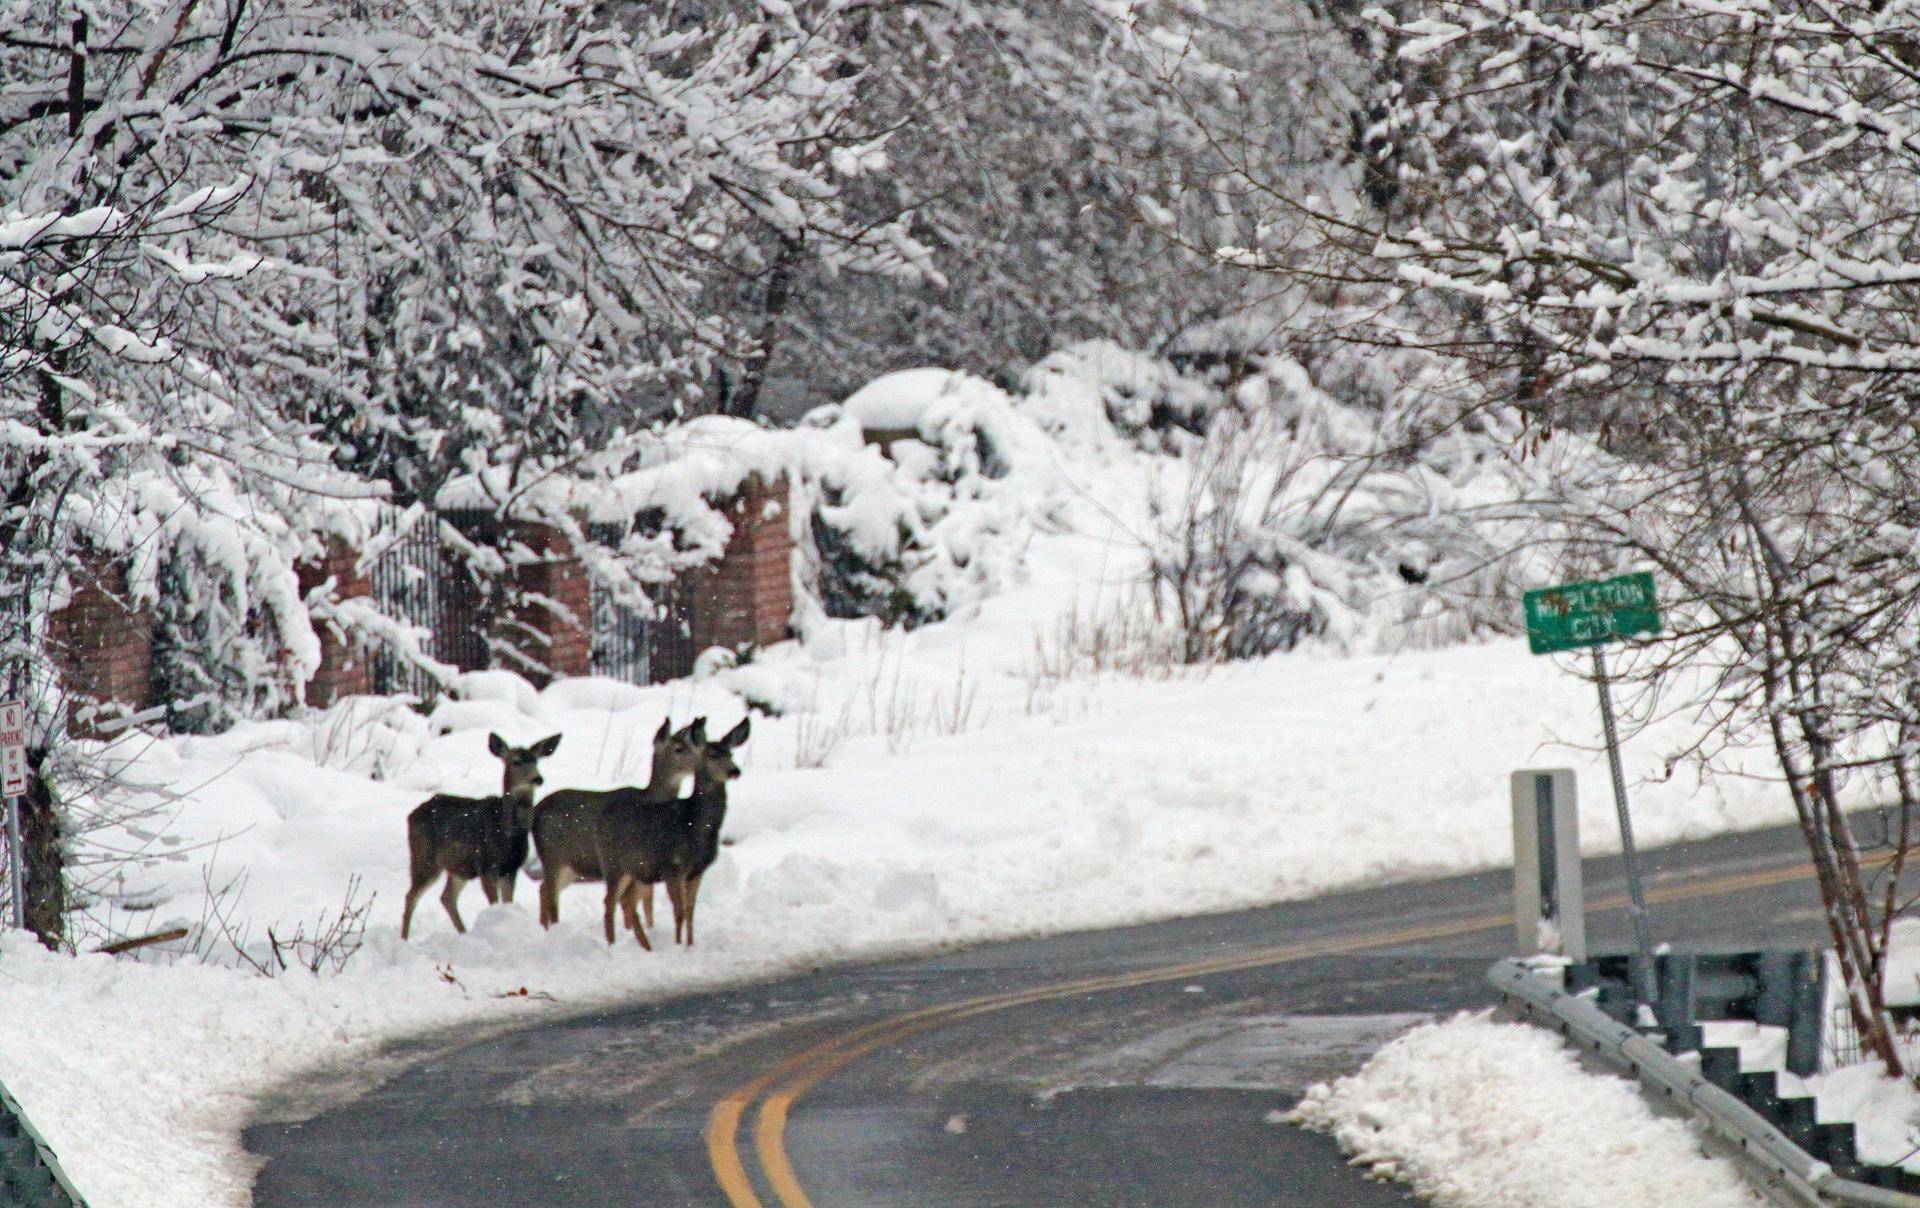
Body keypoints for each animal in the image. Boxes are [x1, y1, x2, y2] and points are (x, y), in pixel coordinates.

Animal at [399, 729, 560, 937]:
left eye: (536, 761)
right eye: (516, 761)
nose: (537, 779)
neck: (507, 834)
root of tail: (411, 815)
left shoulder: (511, 868)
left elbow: (507, 902)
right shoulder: (485, 865)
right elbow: (493, 903)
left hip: (459, 867)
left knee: (446, 897)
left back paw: (463, 933)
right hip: (424, 857)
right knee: (411, 896)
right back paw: (404, 938)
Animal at [529, 722, 702, 929]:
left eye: (691, 745)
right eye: (678, 748)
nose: (703, 761)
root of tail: (535, 811)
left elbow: (645, 902)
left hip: (572, 865)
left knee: (543, 889)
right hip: (554, 856)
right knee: (550, 894)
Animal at [599, 710, 748, 948]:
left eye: (731, 753)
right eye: (712, 755)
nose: (735, 771)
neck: (696, 826)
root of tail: (602, 816)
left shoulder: (697, 870)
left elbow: (690, 911)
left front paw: (690, 945)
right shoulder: (672, 867)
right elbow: (679, 912)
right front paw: (678, 946)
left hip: (636, 870)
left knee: (626, 902)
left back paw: (645, 947)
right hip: (613, 863)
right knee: (609, 902)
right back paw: (613, 946)